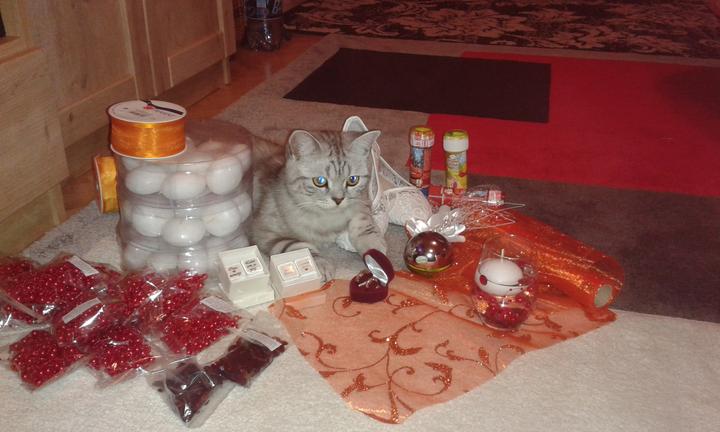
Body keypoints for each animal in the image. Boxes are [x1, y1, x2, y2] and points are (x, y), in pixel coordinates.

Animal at [250, 124, 387, 281]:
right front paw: (318, 264)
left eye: (353, 180)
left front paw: (374, 246)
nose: (339, 199)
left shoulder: (361, 201)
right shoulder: (263, 232)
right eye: (320, 181)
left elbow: (363, 219)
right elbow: (299, 246)